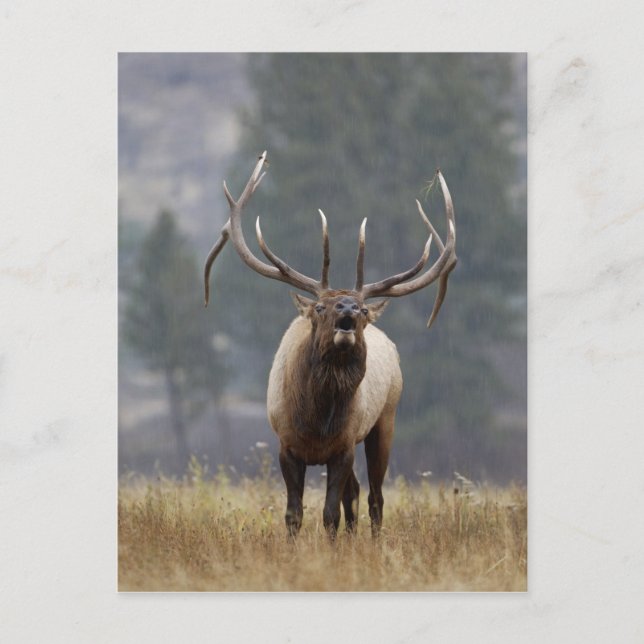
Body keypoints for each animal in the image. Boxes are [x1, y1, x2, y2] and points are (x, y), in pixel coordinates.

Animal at [204, 152, 456, 538]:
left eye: (364, 310)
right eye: (320, 307)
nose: (349, 307)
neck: (317, 421)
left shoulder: (343, 447)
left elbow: (330, 513)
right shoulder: (286, 445)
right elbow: (294, 513)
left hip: (386, 419)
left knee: (374, 496)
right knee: (356, 492)